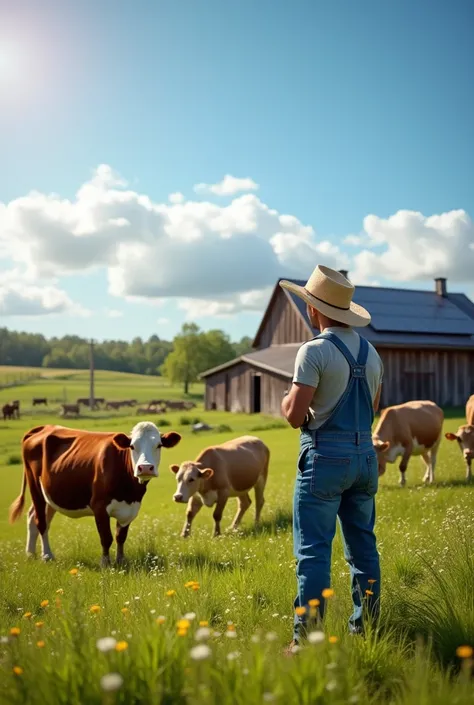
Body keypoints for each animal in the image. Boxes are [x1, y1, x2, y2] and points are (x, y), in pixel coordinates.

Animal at [9, 420, 183, 564]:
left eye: (158, 445)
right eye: (132, 446)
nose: (145, 468)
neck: (129, 491)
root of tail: (43, 427)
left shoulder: (130, 508)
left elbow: (121, 537)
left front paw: (121, 561)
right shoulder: (99, 506)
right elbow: (106, 538)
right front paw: (105, 563)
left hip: (51, 494)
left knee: (34, 517)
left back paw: (31, 554)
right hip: (35, 485)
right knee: (40, 521)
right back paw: (47, 556)